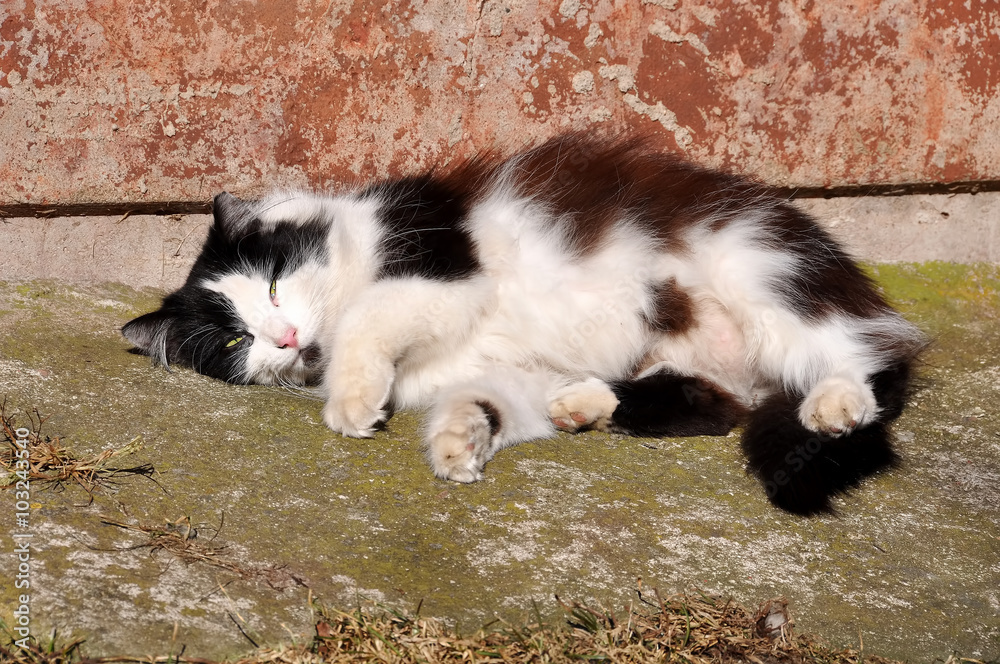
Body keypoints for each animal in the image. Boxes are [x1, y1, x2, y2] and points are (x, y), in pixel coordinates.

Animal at [123, 132, 928, 516]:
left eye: (275, 281)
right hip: (689, 356)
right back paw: (582, 403)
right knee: (710, 404)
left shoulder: (442, 269)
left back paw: (835, 404)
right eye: (237, 341)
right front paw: (459, 442)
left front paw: (351, 403)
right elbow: (486, 402)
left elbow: (366, 319)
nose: (286, 339)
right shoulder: (499, 366)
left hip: (756, 265)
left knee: (861, 355)